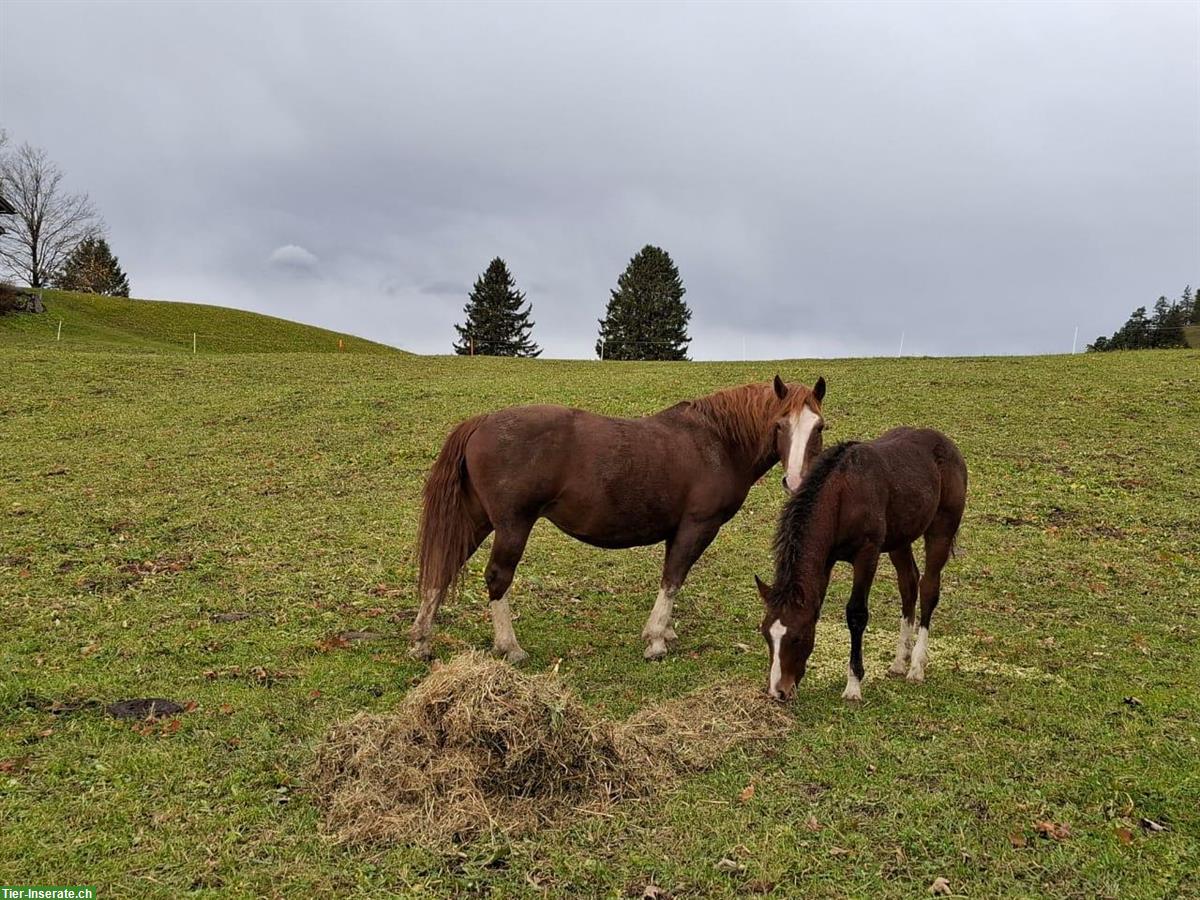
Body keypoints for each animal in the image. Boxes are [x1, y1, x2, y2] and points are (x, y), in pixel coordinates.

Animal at [412, 374, 825, 662]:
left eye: (819, 427)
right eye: (779, 425)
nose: (795, 481)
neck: (717, 442)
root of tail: (482, 422)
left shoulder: (677, 531)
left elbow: (672, 580)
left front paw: (666, 632)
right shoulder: (696, 527)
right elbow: (673, 579)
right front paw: (656, 640)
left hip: (477, 520)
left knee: (442, 568)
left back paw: (421, 641)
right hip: (512, 525)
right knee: (497, 578)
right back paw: (509, 646)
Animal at [753, 429, 969, 705]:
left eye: (798, 636)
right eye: (766, 634)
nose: (778, 691)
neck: (843, 494)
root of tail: (946, 443)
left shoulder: (867, 555)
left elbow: (856, 614)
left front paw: (854, 684)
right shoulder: (827, 560)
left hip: (940, 532)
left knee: (929, 588)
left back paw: (916, 667)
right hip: (899, 540)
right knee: (909, 585)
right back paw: (900, 662)